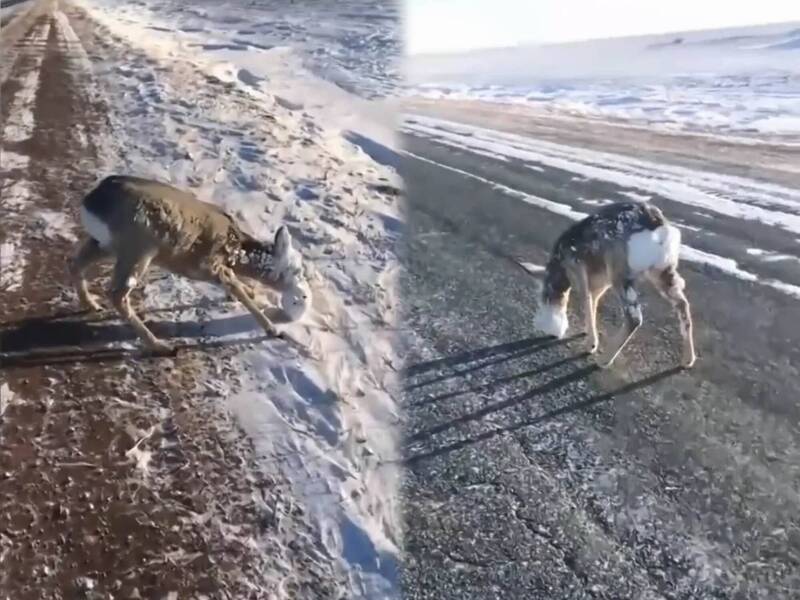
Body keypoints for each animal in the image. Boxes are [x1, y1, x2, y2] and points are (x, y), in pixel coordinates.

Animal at [70, 173, 310, 354]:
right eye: (297, 269)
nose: (304, 295)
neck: (236, 249)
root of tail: (92, 200)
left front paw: (247, 293)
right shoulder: (212, 265)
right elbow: (237, 288)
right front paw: (273, 330)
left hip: (107, 245)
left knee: (77, 261)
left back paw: (91, 304)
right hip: (138, 248)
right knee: (117, 294)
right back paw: (161, 346)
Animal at [536, 200, 696, 370]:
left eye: (546, 299)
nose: (550, 332)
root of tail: (658, 225)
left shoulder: (578, 270)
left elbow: (586, 301)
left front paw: (591, 345)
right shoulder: (599, 282)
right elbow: (593, 302)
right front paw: (588, 334)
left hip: (621, 274)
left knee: (634, 318)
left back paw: (604, 360)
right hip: (663, 272)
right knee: (683, 305)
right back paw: (688, 359)